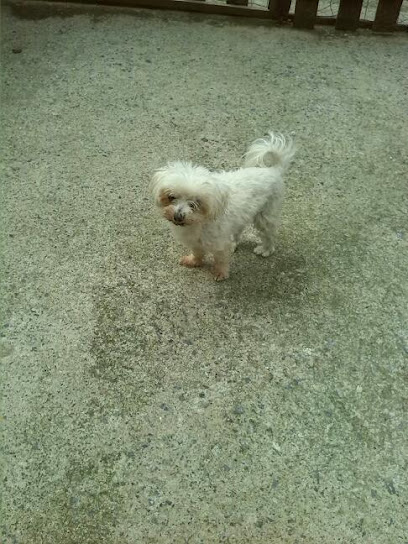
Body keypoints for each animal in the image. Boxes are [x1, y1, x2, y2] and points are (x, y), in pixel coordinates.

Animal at [151, 133, 294, 280]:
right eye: (171, 197)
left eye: (196, 202)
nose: (178, 216)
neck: (199, 223)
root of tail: (273, 170)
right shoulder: (196, 242)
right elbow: (197, 252)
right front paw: (194, 261)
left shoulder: (219, 244)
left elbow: (220, 260)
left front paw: (220, 273)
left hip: (265, 216)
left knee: (269, 234)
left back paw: (266, 249)